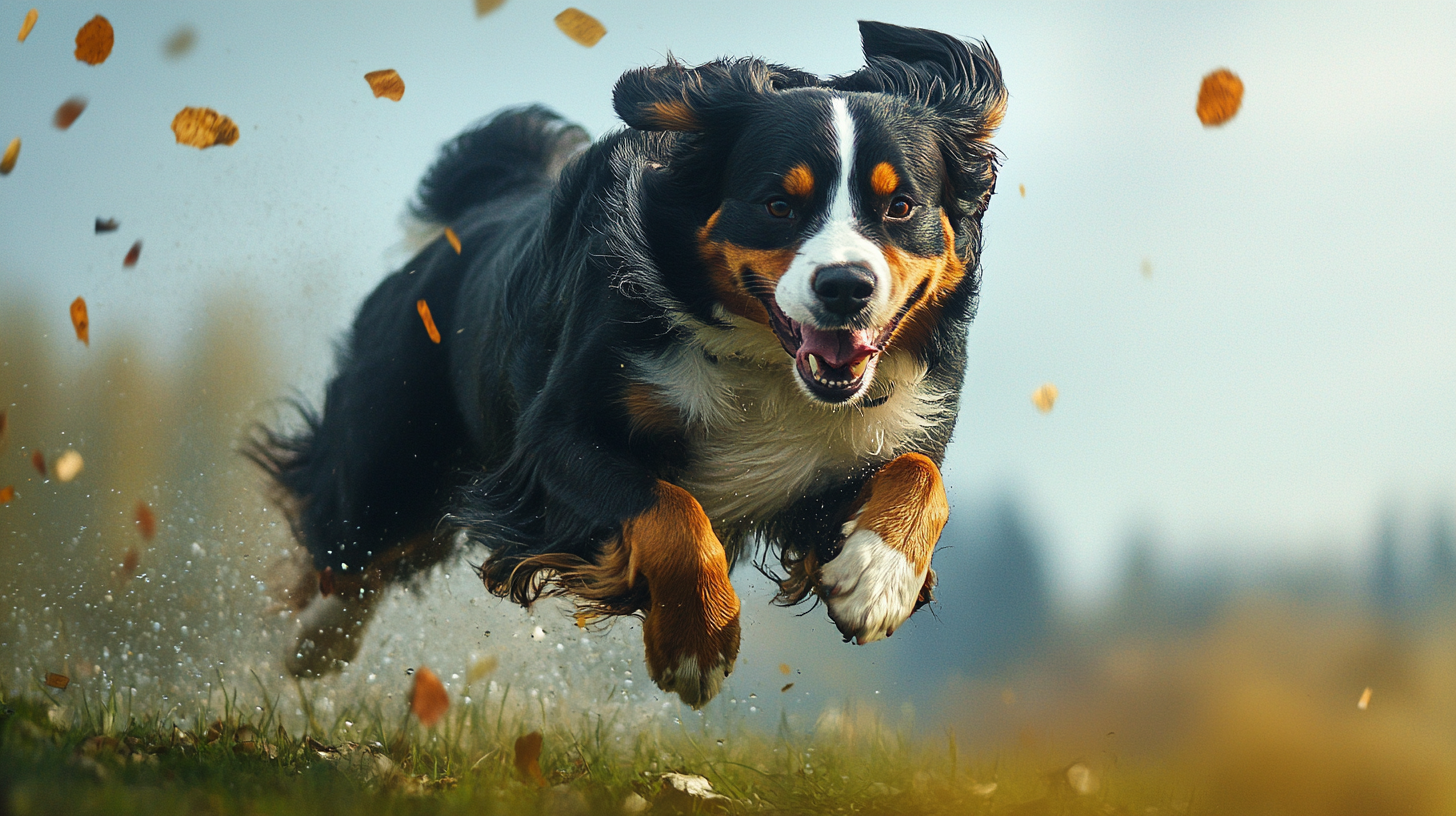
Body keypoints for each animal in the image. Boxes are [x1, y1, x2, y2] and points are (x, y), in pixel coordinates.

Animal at [250, 19, 1001, 708]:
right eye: (778, 205)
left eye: (899, 206)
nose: (846, 287)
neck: (766, 367)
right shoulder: (555, 440)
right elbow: (668, 507)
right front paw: (697, 644)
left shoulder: (886, 430)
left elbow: (920, 473)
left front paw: (877, 579)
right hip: (392, 442)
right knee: (349, 544)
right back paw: (315, 642)